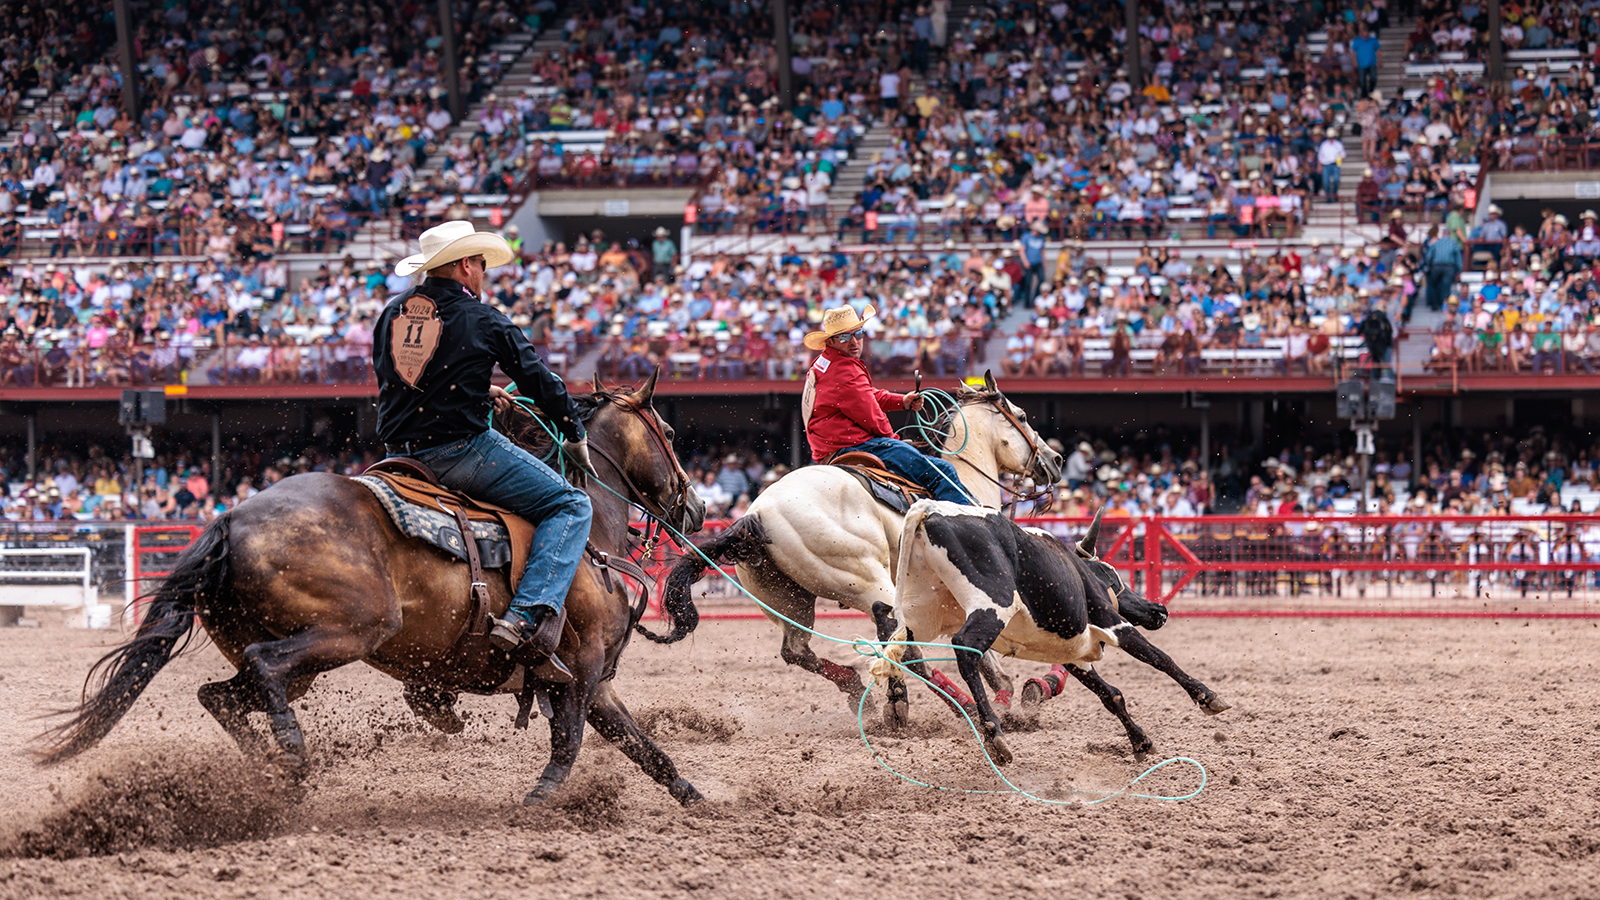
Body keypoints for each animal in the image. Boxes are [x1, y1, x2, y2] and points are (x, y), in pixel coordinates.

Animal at [29, 371, 707, 807]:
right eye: (671, 432)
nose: (697, 507)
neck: (589, 528)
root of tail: (232, 518)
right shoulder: (583, 663)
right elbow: (569, 741)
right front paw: (540, 799)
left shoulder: (595, 680)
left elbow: (645, 747)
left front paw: (698, 801)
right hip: (352, 629)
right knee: (263, 668)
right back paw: (295, 763)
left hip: (294, 652)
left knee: (222, 695)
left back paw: (271, 771)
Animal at [636, 369, 1062, 707]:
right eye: (1022, 416)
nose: (1055, 461)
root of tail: (758, 514)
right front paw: (1006, 687)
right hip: (867, 580)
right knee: (899, 639)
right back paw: (935, 703)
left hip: (786, 598)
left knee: (797, 651)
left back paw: (861, 692)